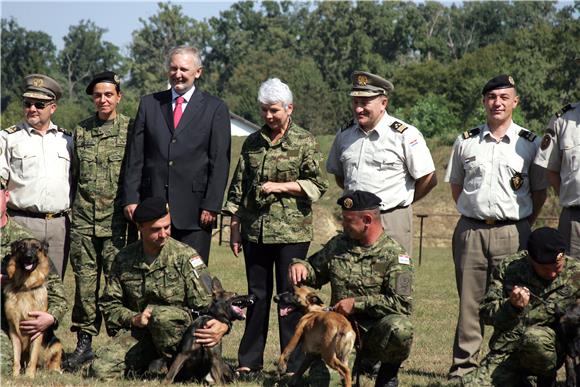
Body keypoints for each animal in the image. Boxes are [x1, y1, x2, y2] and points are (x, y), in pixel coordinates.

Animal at [2, 238, 62, 378]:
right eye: (22, 247)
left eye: (36, 247)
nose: (28, 257)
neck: (26, 286)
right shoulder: (14, 331)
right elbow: (16, 358)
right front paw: (15, 376)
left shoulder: (37, 331)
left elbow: (33, 357)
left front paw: (29, 376)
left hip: (57, 343)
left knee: (53, 361)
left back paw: (54, 370)